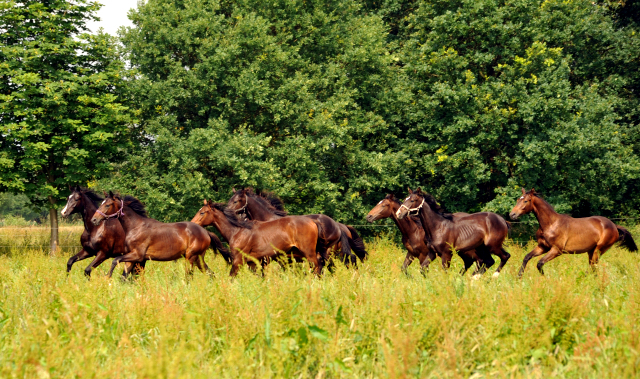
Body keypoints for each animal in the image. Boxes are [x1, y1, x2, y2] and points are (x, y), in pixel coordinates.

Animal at [90, 193, 230, 280]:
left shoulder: (137, 255)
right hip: (198, 259)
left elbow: (115, 260)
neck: (135, 227)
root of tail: (206, 232)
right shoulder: (133, 258)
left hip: (191, 257)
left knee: (189, 276)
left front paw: (107, 277)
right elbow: (124, 276)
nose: (94, 220)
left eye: (107, 205)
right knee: (210, 273)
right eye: (102, 203)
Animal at [188, 202, 322, 276]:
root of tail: (312, 221)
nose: (192, 223)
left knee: (316, 267)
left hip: (308, 253)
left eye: (202, 212)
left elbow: (231, 277)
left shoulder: (238, 261)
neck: (237, 231)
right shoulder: (253, 263)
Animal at [508, 189, 636, 276]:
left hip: (598, 250)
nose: (512, 214)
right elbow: (527, 257)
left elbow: (540, 263)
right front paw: (518, 277)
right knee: (593, 268)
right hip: (591, 251)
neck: (550, 224)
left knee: (593, 267)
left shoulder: (556, 250)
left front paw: (545, 279)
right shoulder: (542, 247)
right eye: (517, 200)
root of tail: (614, 225)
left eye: (526, 201)